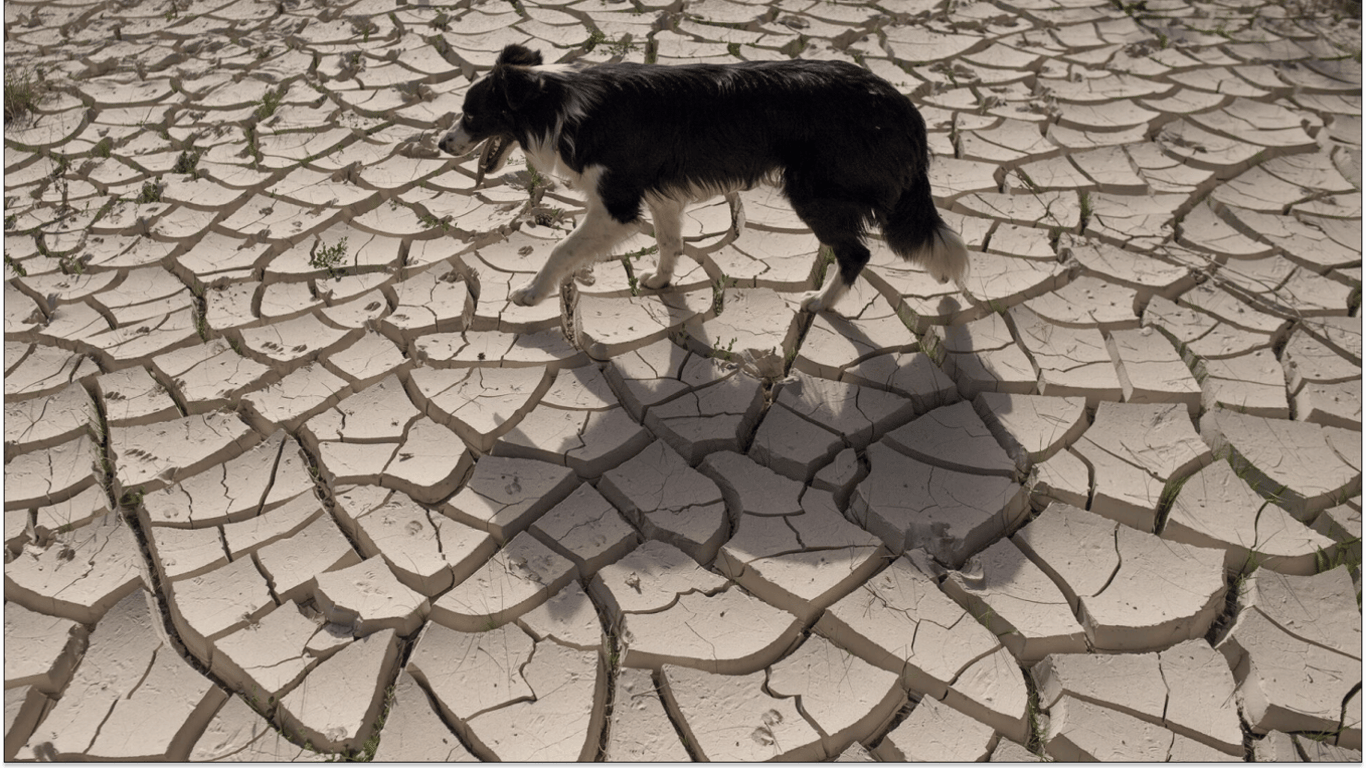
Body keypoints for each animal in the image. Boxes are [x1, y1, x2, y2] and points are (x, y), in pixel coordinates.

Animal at [437, 42, 972, 307]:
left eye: (471, 115)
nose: (441, 144)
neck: (556, 106)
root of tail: (902, 103)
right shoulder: (662, 195)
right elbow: (669, 241)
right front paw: (659, 282)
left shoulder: (617, 204)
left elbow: (561, 249)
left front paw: (532, 291)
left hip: (812, 193)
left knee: (856, 252)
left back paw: (820, 302)